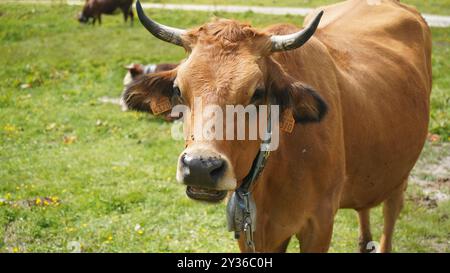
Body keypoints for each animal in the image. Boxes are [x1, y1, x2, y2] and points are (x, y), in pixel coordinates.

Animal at [123, 0, 432, 252]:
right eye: (178, 90)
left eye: (257, 92)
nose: (200, 167)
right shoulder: (250, 231)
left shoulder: (319, 226)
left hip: (400, 174)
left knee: (391, 215)